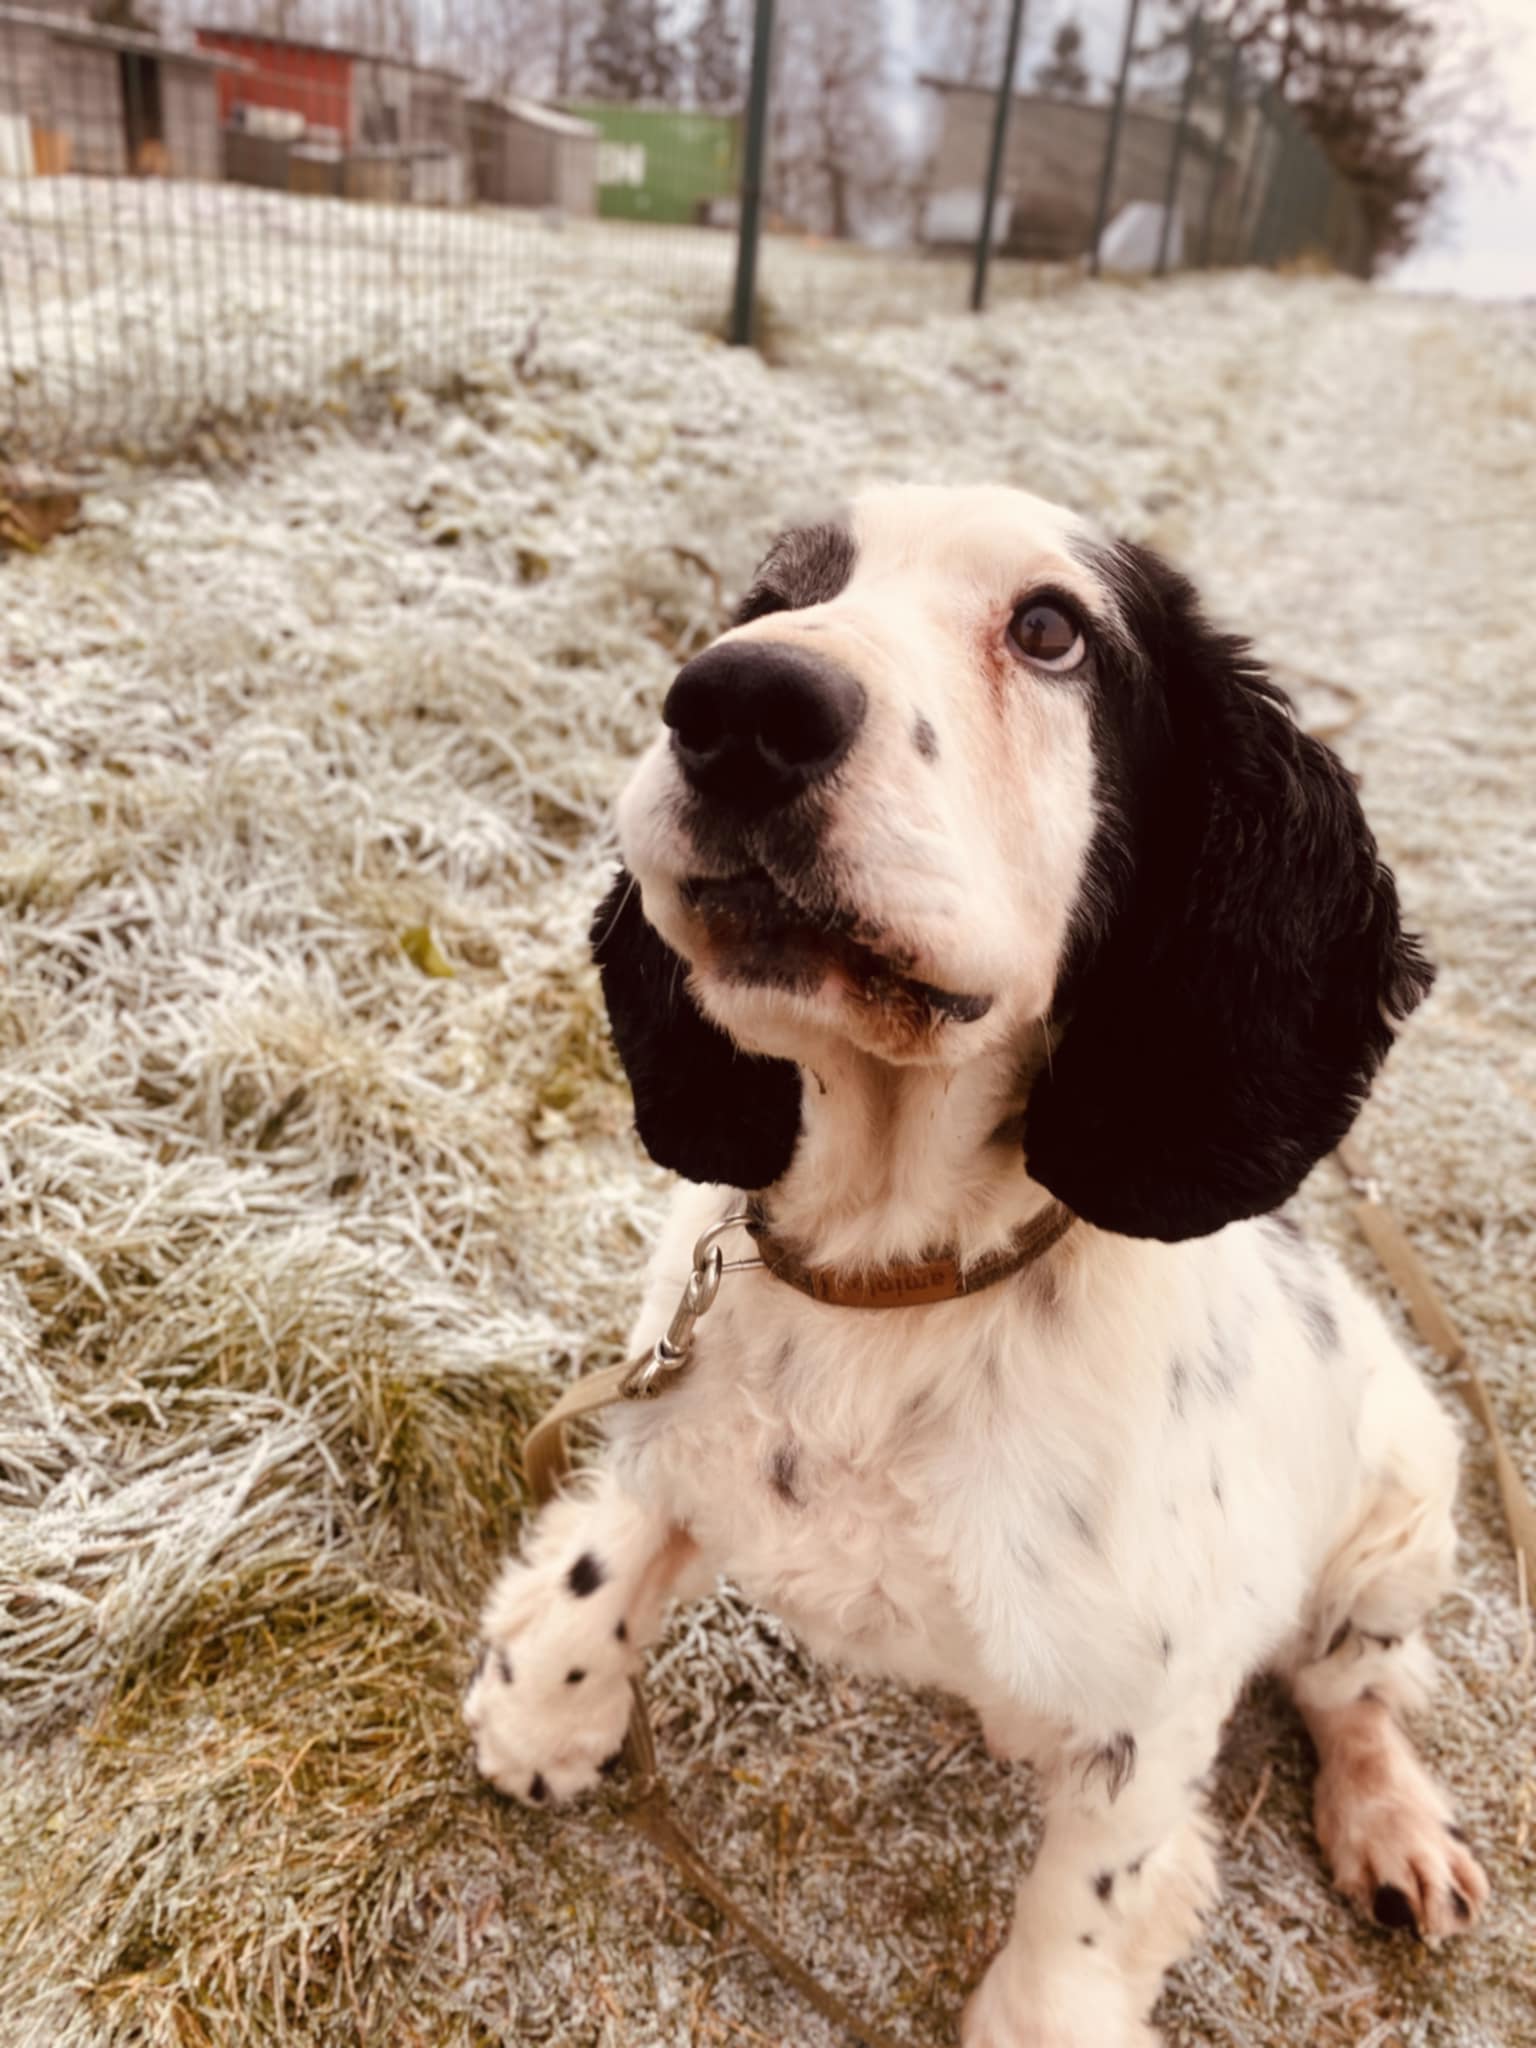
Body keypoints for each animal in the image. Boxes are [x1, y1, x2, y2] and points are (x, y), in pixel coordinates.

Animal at [465, 484, 1488, 2046]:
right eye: (772, 595)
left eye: (1051, 628)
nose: (739, 706)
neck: (897, 1285)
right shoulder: (670, 1403)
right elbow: (613, 1546)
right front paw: (548, 1701)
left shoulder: (1150, 1714)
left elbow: (1086, 1914)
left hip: (1404, 1520)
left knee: (1354, 1691)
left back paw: (1393, 1828)